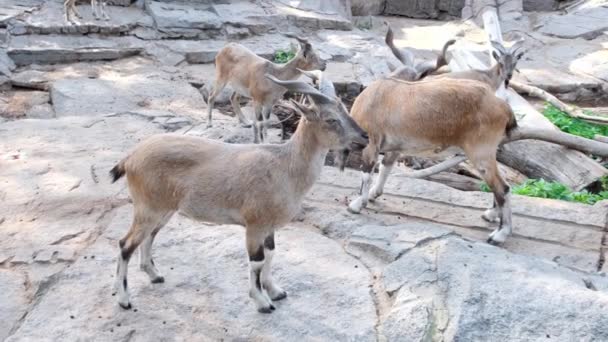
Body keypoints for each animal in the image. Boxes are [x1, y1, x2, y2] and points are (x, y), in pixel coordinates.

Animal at [109, 71, 368, 312]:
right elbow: (257, 261)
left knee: (149, 237)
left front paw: (276, 291)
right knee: (125, 244)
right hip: (147, 207)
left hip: (164, 209)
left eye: (345, 110)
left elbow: (271, 254)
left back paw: (155, 275)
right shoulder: (254, 225)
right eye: (331, 119)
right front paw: (262, 302)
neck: (285, 167)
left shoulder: (269, 227)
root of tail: (130, 158)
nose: (364, 137)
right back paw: (124, 299)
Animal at [346, 76, 516, 244]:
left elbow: (367, 174)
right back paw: (491, 214)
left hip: (480, 152)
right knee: (501, 184)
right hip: (488, 152)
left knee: (502, 187)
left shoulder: (370, 143)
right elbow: (384, 167)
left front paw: (356, 205)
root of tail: (502, 106)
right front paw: (373, 194)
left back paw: (499, 234)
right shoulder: (395, 149)